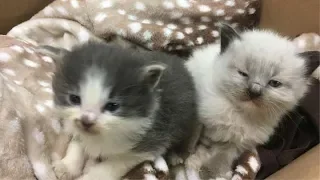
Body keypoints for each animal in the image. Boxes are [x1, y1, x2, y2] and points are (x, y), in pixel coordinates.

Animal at [50, 41, 196, 179]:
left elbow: (111, 166)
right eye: (74, 99)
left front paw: (90, 176)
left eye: (112, 106)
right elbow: (77, 143)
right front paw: (67, 167)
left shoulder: (149, 141)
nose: (86, 121)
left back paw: (175, 155)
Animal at [184, 24, 318, 180]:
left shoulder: (236, 144)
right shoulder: (202, 119)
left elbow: (223, 157)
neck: (240, 114)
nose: (254, 91)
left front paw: (213, 172)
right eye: (243, 74)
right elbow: (195, 138)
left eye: (274, 83)